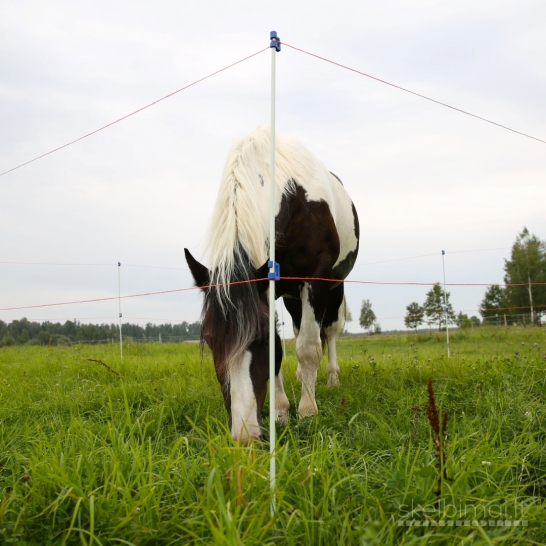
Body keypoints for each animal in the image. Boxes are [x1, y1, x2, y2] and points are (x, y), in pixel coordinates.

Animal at [185, 127, 360, 442]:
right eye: (210, 339)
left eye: (260, 339)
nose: (244, 435)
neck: (290, 196)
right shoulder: (270, 288)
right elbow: (282, 351)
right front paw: (281, 412)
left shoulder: (315, 281)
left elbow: (307, 348)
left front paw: (307, 411)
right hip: (292, 297)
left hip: (334, 286)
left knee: (328, 333)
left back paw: (331, 378)